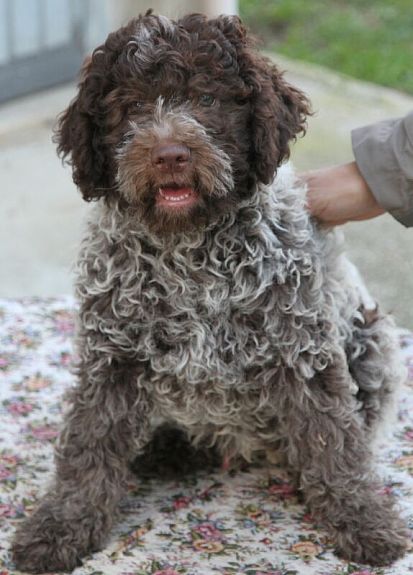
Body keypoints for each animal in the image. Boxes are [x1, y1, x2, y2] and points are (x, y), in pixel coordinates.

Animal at [11, 11, 408, 572]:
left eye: (206, 98)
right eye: (132, 106)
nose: (169, 155)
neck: (190, 251)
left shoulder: (300, 351)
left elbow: (333, 440)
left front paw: (361, 518)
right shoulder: (113, 357)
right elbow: (89, 445)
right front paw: (61, 525)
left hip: (371, 338)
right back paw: (167, 449)